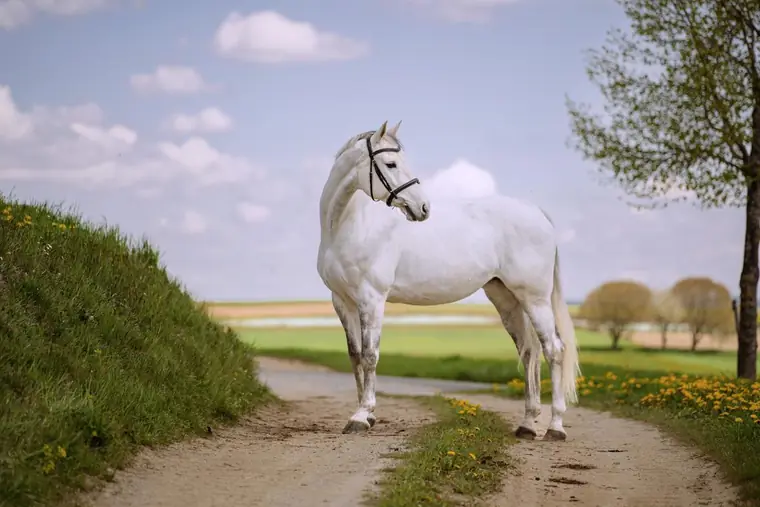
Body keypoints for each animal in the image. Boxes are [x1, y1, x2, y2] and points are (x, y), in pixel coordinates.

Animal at [316, 120, 580, 440]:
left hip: (535, 297)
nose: (423, 208)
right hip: (507, 298)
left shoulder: (372, 298)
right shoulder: (342, 301)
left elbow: (370, 355)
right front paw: (365, 416)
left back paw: (555, 427)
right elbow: (355, 356)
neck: (348, 227)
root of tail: (537, 213)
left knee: (554, 350)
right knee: (529, 352)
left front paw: (362, 415)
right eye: (391, 163)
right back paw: (527, 425)